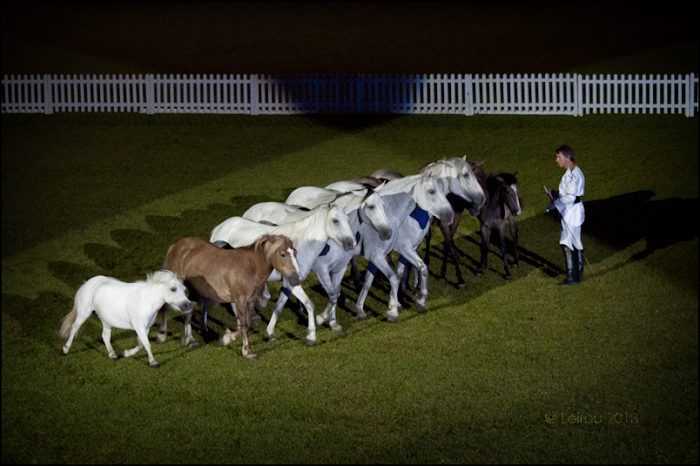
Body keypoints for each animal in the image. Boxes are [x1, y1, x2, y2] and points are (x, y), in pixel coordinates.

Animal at [57, 270, 193, 368]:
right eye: (173, 289)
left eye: (184, 289)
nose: (189, 305)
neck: (146, 300)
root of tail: (87, 283)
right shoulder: (139, 327)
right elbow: (147, 344)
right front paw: (153, 362)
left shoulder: (145, 328)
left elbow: (141, 344)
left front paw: (125, 353)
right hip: (84, 313)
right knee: (74, 328)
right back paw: (65, 349)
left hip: (106, 320)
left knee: (105, 336)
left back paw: (113, 355)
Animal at [159, 235, 300, 358]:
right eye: (283, 254)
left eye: (295, 252)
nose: (296, 279)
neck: (250, 268)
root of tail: (176, 246)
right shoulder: (239, 301)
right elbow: (244, 325)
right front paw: (247, 352)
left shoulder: (250, 301)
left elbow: (249, 323)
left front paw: (226, 338)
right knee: (166, 307)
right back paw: (162, 336)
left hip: (194, 290)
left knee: (187, 313)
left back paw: (190, 340)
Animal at [209, 204, 356, 346]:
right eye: (335, 220)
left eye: (348, 219)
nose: (352, 244)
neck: (303, 245)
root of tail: (217, 228)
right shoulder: (293, 283)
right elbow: (310, 304)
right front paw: (313, 332)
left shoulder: (290, 283)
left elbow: (279, 307)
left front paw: (270, 333)